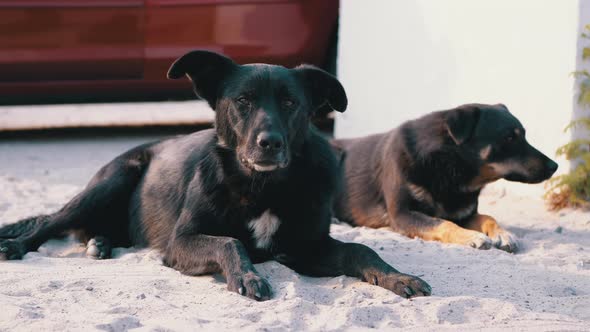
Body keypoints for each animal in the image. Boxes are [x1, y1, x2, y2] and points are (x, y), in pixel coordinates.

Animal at [0, 50, 434, 300]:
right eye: (243, 101)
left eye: (291, 103)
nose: (270, 143)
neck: (263, 187)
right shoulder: (180, 242)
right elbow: (230, 242)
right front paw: (248, 277)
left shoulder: (308, 247)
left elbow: (361, 250)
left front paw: (399, 277)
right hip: (112, 180)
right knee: (50, 222)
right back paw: (18, 245)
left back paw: (101, 243)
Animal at [332, 102, 560, 253]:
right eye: (509, 137)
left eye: (523, 135)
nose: (554, 166)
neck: (449, 168)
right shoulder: (403, 214)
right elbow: (443, 223)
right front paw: (470, 236)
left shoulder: (465, 214)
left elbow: (488, 217)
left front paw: (502, 233)